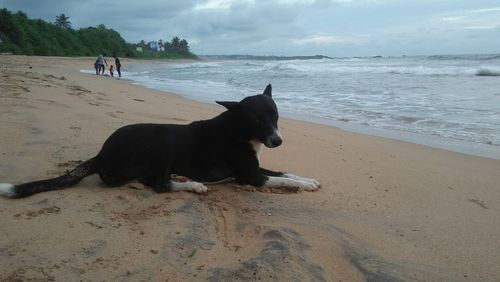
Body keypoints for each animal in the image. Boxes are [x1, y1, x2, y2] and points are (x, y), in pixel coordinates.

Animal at [0, 84, 320, 198]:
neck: (238, 130)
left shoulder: (255, 166)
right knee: (159, 186)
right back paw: (191, 185)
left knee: (152, 180)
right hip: (165, 136)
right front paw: (302, 186)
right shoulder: (249, 176)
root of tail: (101, 154)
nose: (277, 141)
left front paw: (308, 180)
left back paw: (185, 179)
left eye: (275, 115)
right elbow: (278, 179)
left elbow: (284, 172)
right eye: (257, 120)